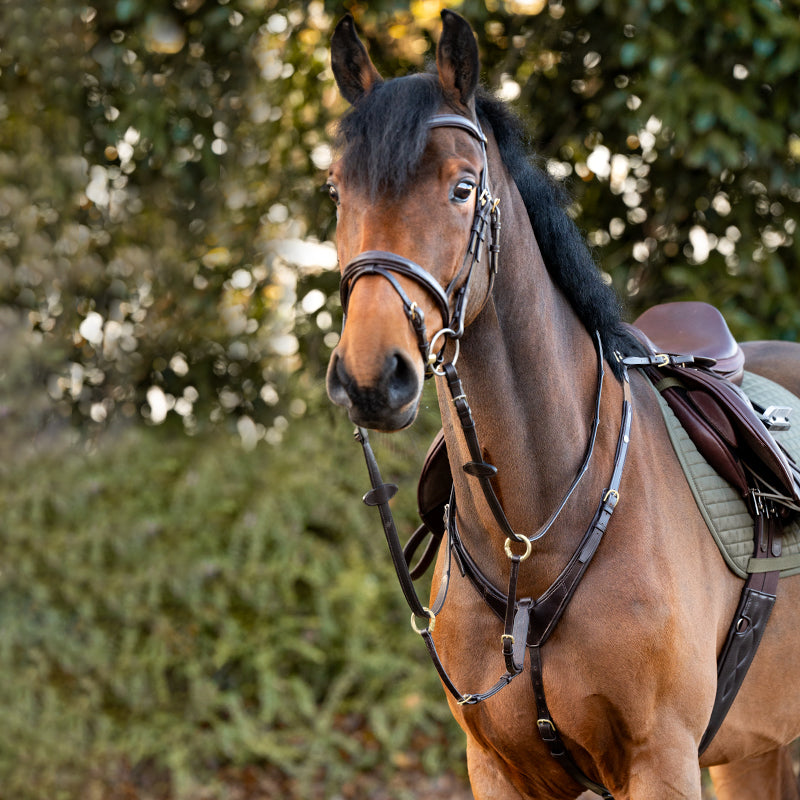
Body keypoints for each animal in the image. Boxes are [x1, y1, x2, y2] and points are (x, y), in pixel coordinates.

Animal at [324, 10, 800, 800]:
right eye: (337, 192)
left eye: (462, 188)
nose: (372, 376)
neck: (534, 541)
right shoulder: (498, 767)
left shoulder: (662, 761)